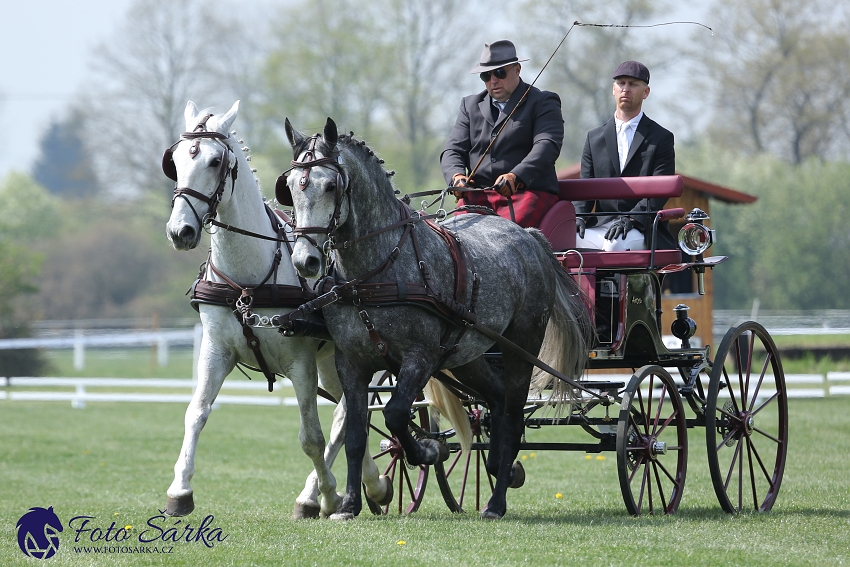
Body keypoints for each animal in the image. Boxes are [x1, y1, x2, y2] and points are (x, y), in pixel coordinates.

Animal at [164, 101, 392, 520]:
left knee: (343, 417)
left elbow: (311, 437)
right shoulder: (215, 351)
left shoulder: (299, 362)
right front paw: (180, 491)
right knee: (352, 414)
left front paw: (326, 496)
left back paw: (318, 493)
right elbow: (196, 413)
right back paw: (375, 484)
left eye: (216, 160)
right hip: (331, 361)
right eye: (175, 160)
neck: (248, 278)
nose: (180, 231)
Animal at [278, 117, 588, 520]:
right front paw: (349, 505)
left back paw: (496, 500)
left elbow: (394, 413)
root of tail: (529, 237)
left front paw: (427, 450)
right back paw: (498, 467)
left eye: (330, 185)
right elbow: (356, 436)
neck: (376, 272)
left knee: (513, 412)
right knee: (498, 400)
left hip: (521, 346)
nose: (306, 261)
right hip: (468, 355)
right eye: (290, 188)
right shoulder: (352, 363)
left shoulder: (420, 357)